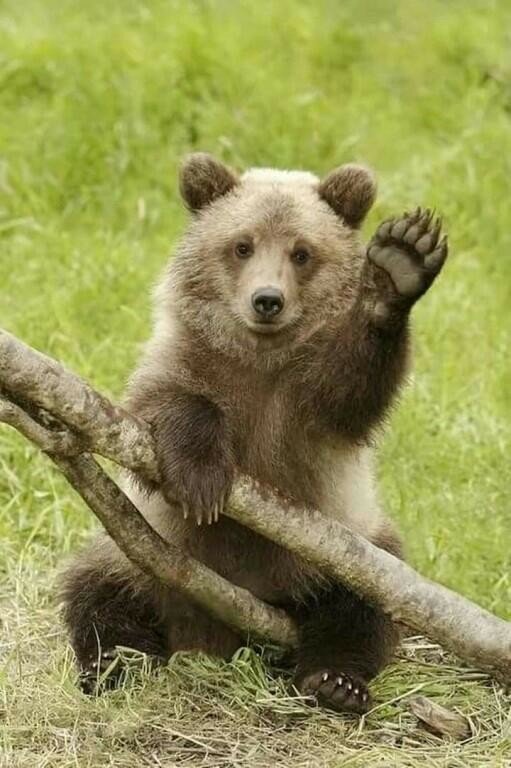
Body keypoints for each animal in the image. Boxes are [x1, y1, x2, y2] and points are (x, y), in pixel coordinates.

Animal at [61, 153, 448, 714]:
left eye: (302, 252)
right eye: (241, 245)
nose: (267, 300)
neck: (260, 359)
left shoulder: (305, 403)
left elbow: (351, 392)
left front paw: (398, 264)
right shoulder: (186, 361)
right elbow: (162, 413)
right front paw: (200, 480)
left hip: (343, 549)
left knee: (364, 603)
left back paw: (335, 681)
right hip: (140, 555)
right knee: (98, 593)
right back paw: (113, 666)